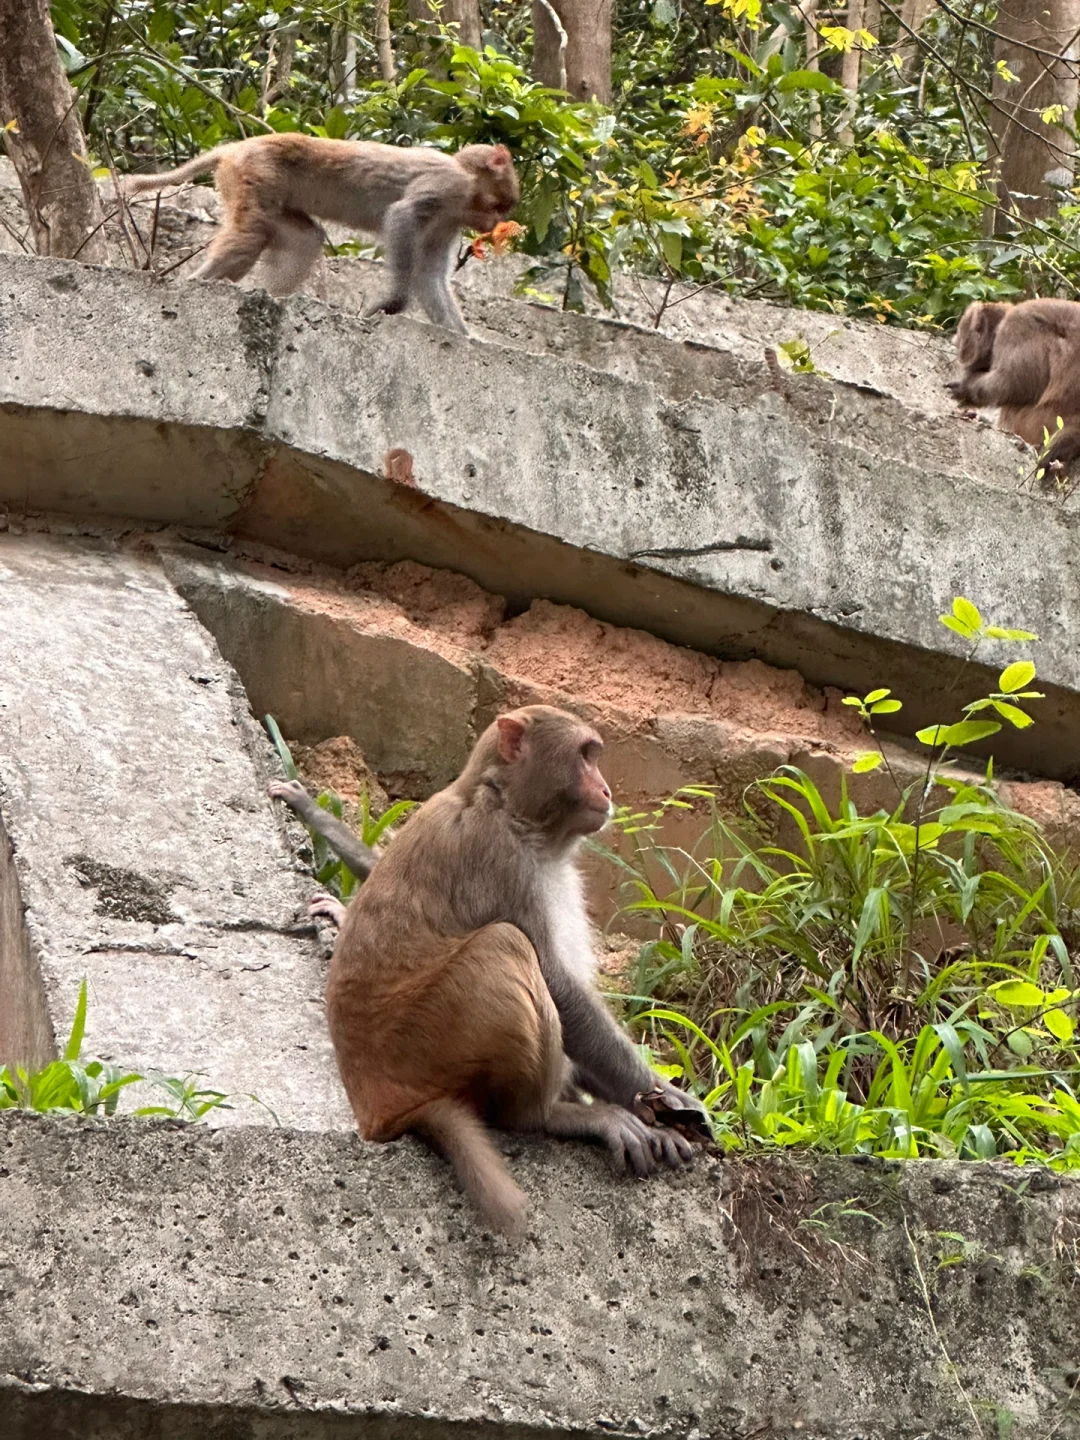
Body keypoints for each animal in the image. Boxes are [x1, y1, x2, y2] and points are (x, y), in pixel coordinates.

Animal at [122, 132, 521, 329]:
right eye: (501, 206)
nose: (494, 225)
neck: (467, 181)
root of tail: (237, 147)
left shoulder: (448, 221)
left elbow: (429, 275)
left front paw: (460, 335)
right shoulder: (447, 187)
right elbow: (401, 216)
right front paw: (392, 303)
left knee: (304, 241)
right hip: (254, 171)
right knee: (249, 235)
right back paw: (194, 285)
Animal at [272, 708, 702, 1238]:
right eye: (586, 755)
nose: (605, 789)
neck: (507, 807)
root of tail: (379, 1110)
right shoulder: (501, 862)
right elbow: (560, 986)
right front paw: (673, 1102)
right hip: (429, 1045)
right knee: (506, 945)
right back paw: (546, 1117)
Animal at [950, 299, 1080, 466]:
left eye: (961, 331)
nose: (955, 340)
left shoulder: (1016, 328)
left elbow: (1011, 384)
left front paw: (965, 388)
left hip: (1038, 424)